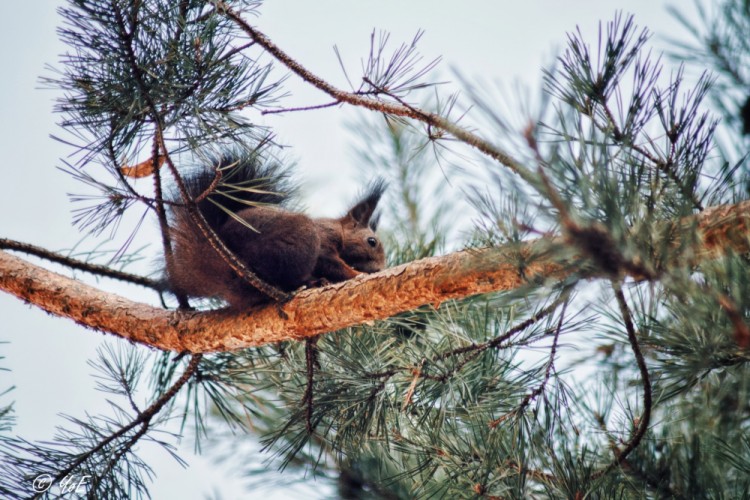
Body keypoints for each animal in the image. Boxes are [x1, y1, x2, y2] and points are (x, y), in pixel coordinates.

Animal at [165, 151, 388, 308]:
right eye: (372, 241)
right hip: (294, 240)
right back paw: (312, 283)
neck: (339, 230)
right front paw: (356, 274)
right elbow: (331, 263)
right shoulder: (325, 239)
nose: (379, 269)